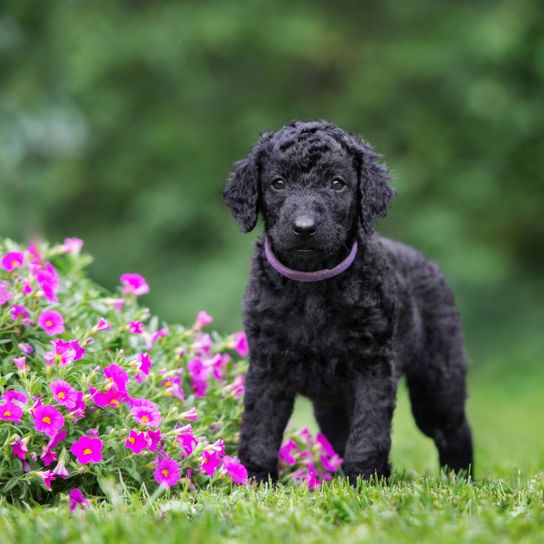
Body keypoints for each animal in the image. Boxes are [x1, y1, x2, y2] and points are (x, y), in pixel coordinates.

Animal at [223, 120, 474, 484]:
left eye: (337, 183)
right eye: (278, 183)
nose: (304, 228)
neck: (312, 284)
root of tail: (427, 262)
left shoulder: (373, 365)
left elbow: (369, 431)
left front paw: (366, 481)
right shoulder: (267, 366)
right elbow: (260, 428)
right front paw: (254, 479)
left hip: (438, 380)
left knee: (453, 429)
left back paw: (460, 477)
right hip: (330, 406)